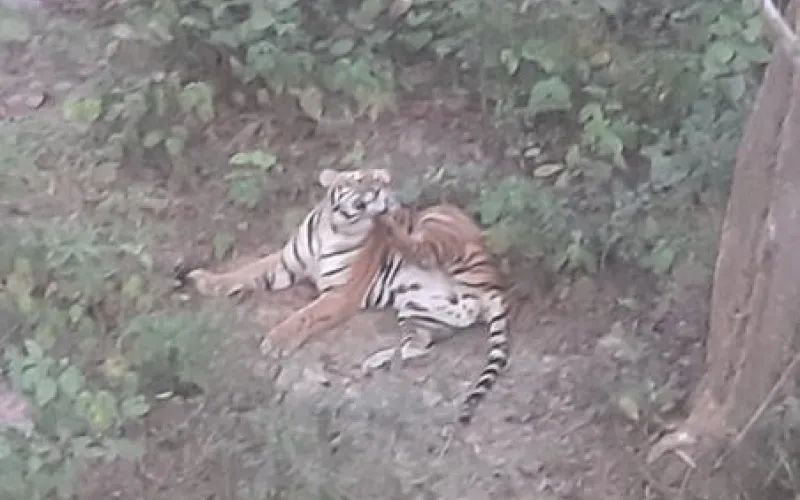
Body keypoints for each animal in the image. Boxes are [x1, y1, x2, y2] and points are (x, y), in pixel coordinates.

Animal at [175, 168, 511, 424]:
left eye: (380, 181)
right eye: (361, 178)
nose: (380, 191)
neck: (336, 227)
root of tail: (496, 282)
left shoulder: (340, 293)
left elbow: (304, 315)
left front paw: (277, 341)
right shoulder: (285, 264)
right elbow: (245, 272)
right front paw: (205, 282)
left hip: (438, 223)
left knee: (423, 251)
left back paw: (391, 222)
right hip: (416, 309)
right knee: (420, 344)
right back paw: (377, 361)